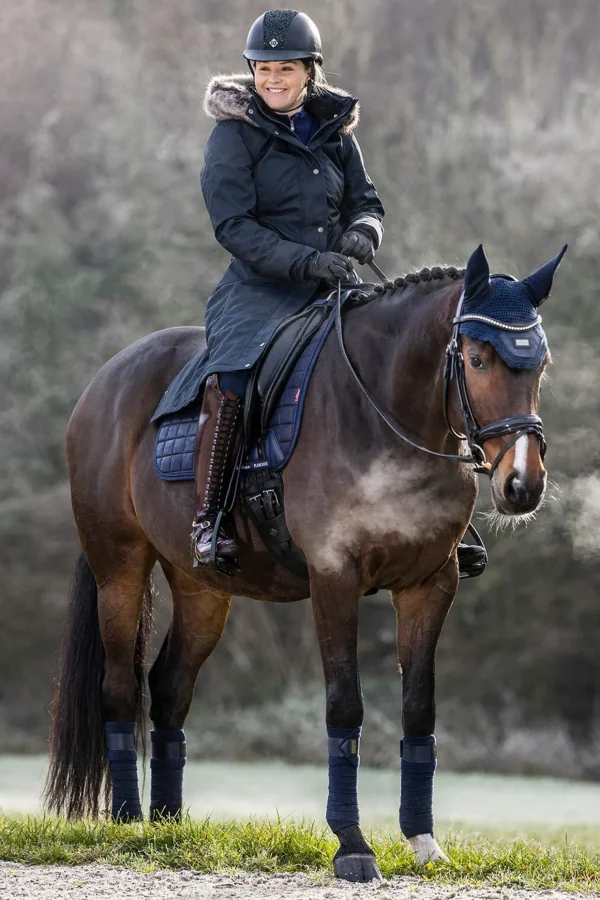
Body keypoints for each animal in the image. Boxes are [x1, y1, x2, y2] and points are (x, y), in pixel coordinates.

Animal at [45, 244, 564, 880]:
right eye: (478, 358)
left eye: (539, 364)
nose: (522, 485)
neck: (383, 413)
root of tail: (104, 381)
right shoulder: (334, 577)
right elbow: (345, 705)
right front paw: (353, 845)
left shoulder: (430, 584)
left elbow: (419, 709)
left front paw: (423, 842)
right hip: (118, 571)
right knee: (121, 687)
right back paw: (126, 821)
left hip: (202, 590)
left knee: (170, 687)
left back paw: (168, 826)